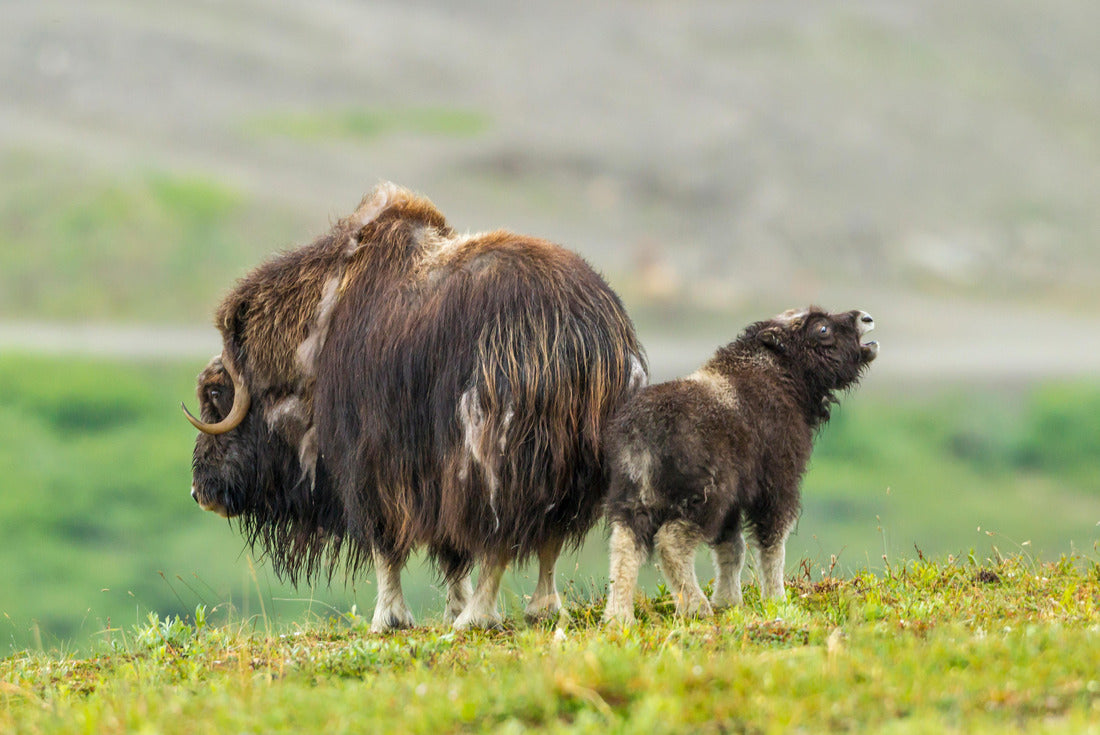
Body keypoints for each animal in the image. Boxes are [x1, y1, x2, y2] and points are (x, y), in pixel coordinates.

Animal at [184, 182, 647, 631]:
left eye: (214, 392)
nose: (197, 491)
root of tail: (585, 332)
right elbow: (453, 553)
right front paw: (448, 608)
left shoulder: (372, 467)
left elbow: (386, 545)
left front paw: (389, 619)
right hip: (571, 466)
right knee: (548, 534)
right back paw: (540, 610)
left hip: (495, 458)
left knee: (500, 537)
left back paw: (477, 618)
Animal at [601, 307, 877, 624]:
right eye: (821, 329)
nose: (865, 318)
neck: (780, 374)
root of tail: (641, 430)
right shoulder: (777, 486)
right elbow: (771, 545)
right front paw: (777, 600)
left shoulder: (734, 505)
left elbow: (731, 549)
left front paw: (729, 601)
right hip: (703, 498)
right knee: (671, 542)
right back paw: (696, 607)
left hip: (633, 498)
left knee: (625, 546)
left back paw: (619, 617)